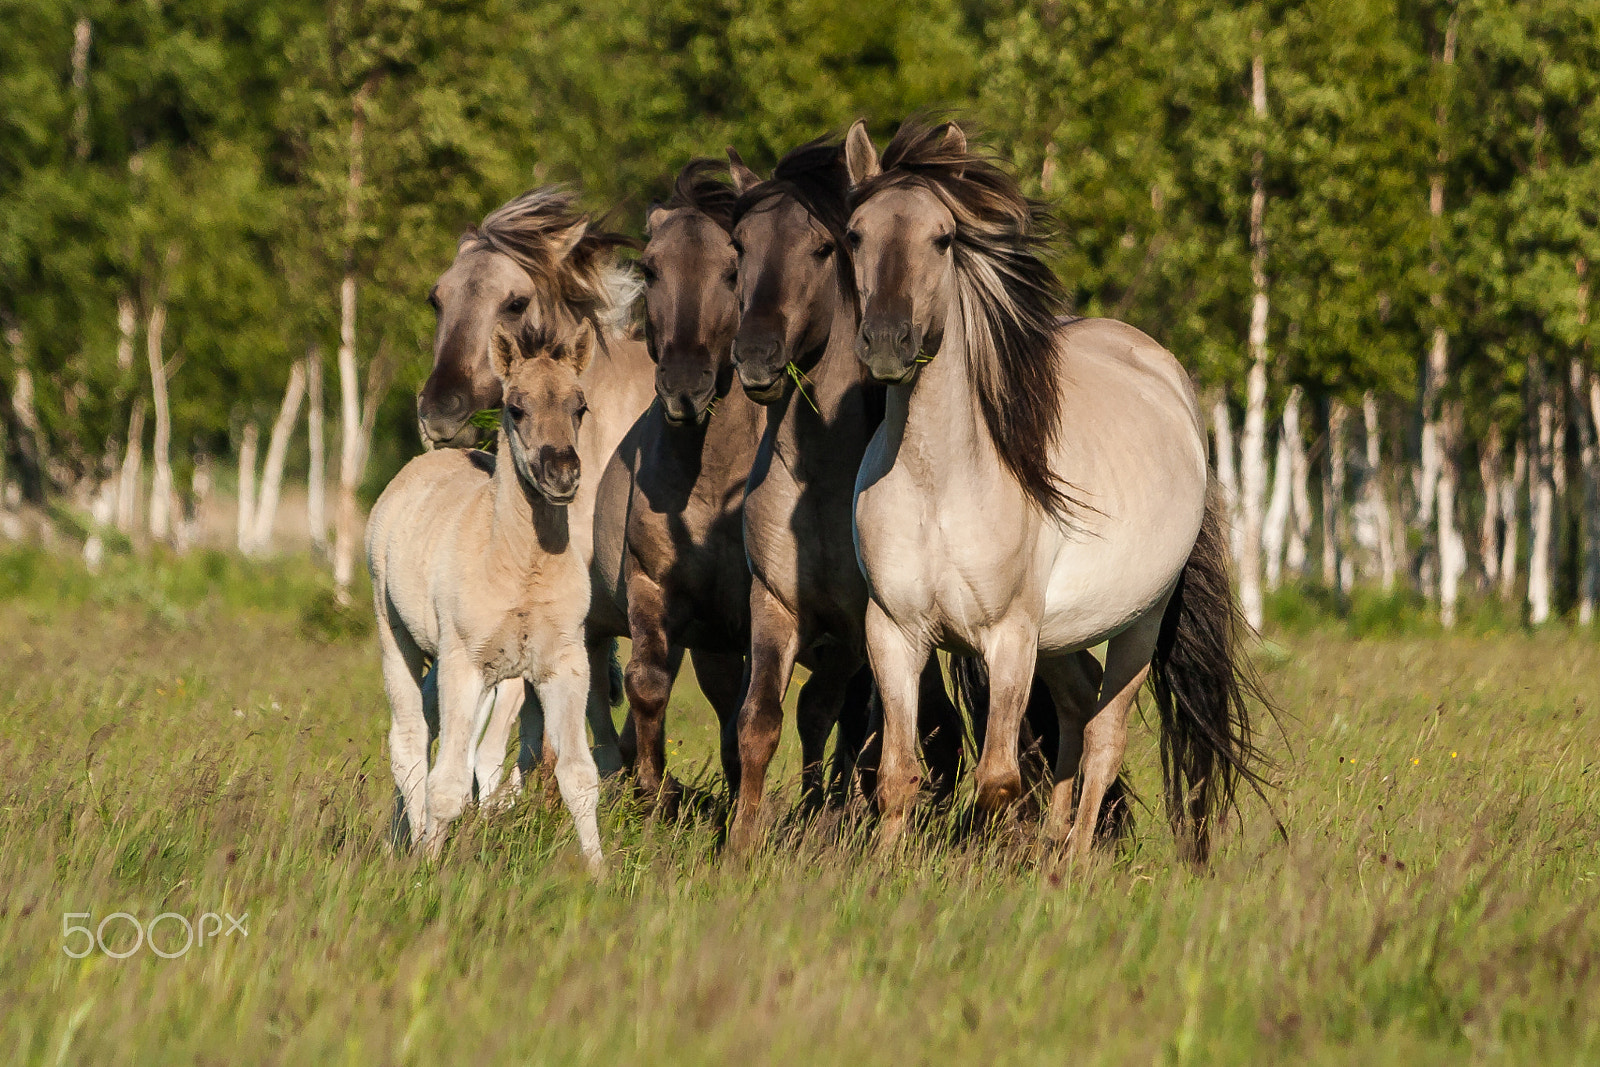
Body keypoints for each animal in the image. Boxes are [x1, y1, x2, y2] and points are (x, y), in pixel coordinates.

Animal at [368, 317, 604, 871]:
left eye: (579, 407)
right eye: (516, 408)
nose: (563, 473)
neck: (521, 569)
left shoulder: (564, 665)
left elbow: (579, 778)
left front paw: (601, 875)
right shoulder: (465, 662)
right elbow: (448, 785)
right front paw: (427, 870)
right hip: (398, 637)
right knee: (410, 741)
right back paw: (411, 841)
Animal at [724, 137, 966, 852]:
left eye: (822, 248)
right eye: (740, 245)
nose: (756, 356)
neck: (822, 483)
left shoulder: (861, 630)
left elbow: (829, 714)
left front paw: (826, 819)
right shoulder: (775, 605)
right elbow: (762, 719)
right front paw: (742, 844)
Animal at [844, 119, 1268, 864]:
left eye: (943, 237)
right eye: (855, 234)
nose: (888, 344)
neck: (938, 483)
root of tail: (1168, 377)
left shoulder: (1009, 639)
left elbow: (997, 777)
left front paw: (989, 854)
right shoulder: (894, 632)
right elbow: (898, 774)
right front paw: (887, 870)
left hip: (1138, 624)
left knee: (1103, 736)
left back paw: (1069, 864)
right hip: (1064, 638)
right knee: (1075, 713)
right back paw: (1052, 846)